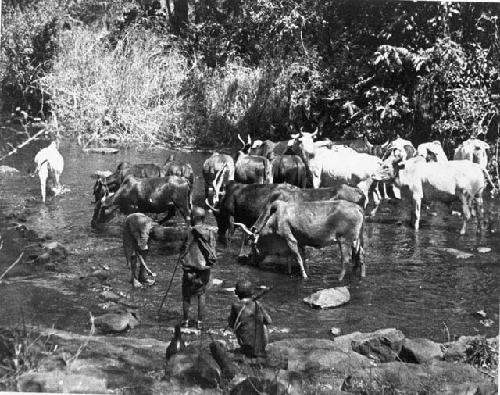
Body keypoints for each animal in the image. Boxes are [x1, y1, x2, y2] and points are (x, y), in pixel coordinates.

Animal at [236, 201, 366, 282]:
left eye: (251, 244)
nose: (244, 259)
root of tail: (357, 207)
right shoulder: (301, 242)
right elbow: (301, 258)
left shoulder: (290, 239)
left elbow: (298, 258)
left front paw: (304, 276)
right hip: (355, 240)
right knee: (361, 255)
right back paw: (361, 275)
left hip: (345, 240)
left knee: (346, 260)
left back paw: (339, 279)